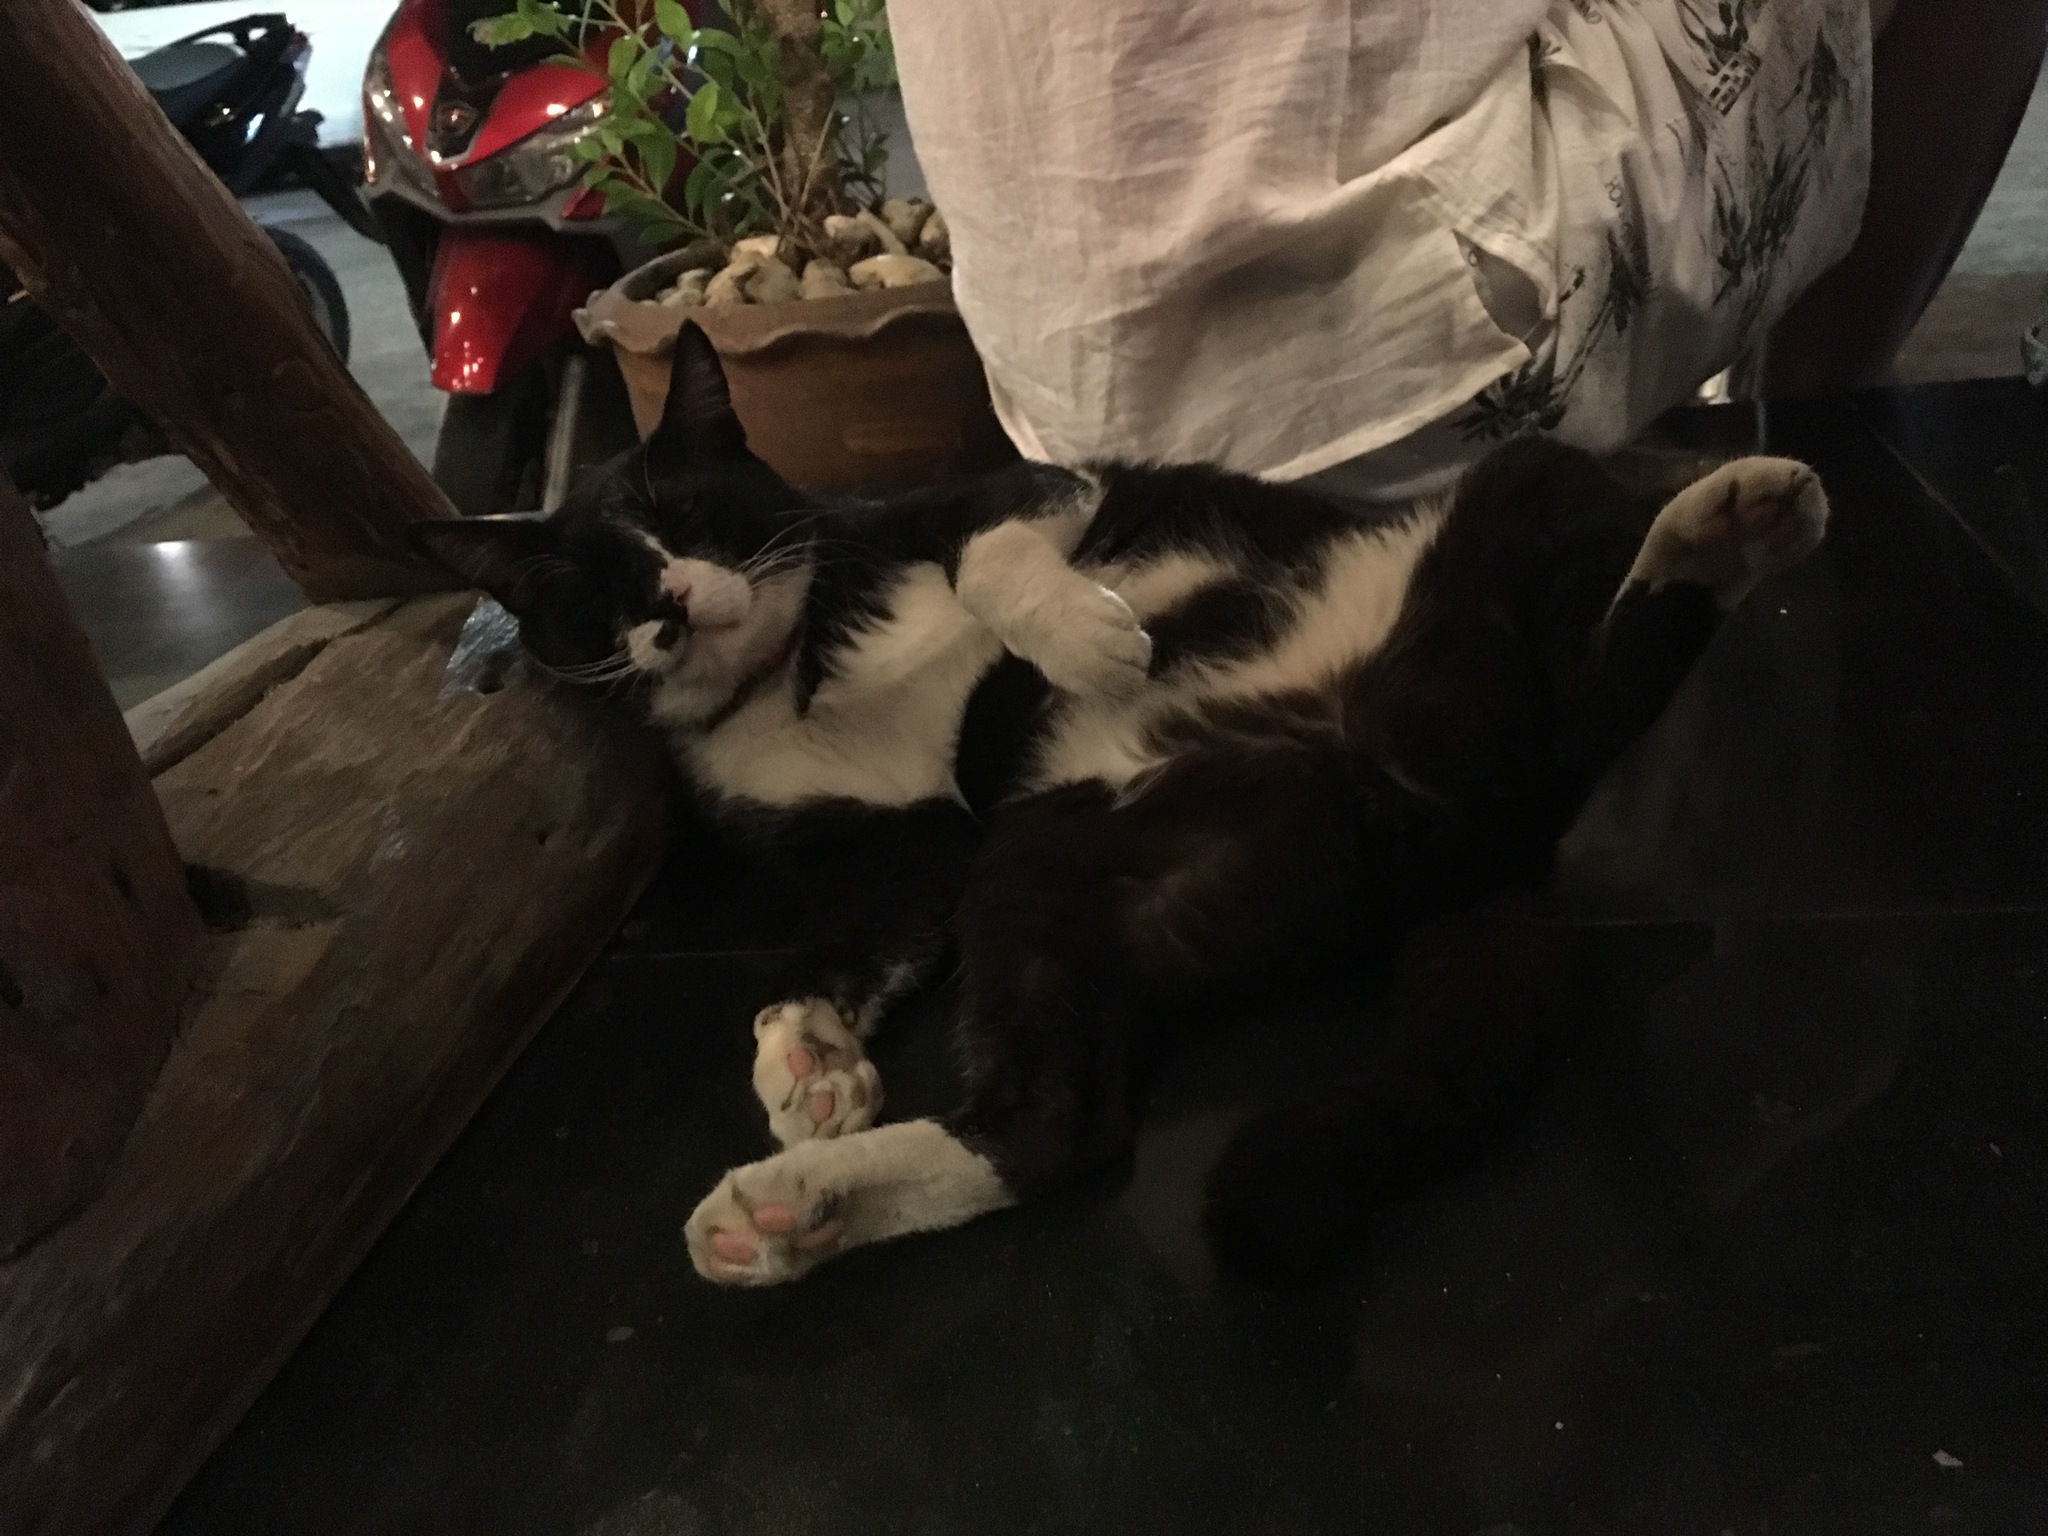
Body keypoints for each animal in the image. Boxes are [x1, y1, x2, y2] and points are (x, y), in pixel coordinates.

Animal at [413, 322, 1829, 1288]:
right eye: (592, 594)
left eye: (693, 514)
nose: (666, 603)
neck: (791, 673)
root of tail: (1462, 844)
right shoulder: (901, 853)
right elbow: (813, 963)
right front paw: (805, 1068)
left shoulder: (1015, 493)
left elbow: (992, 553)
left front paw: (1088, 640)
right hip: (1049, 867)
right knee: (1058, 1125)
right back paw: (791, 1208)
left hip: (1516, 489)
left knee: (1602, 661)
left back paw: (1727, 518)